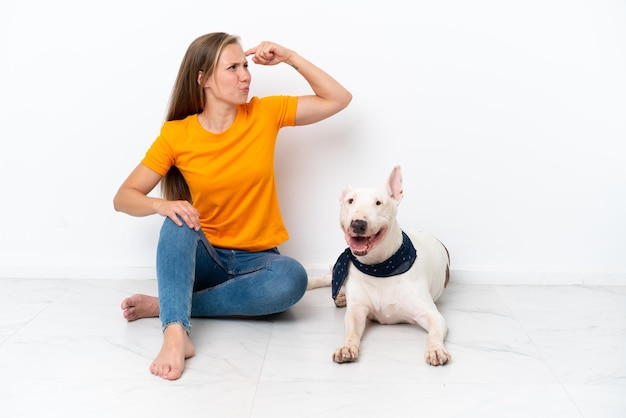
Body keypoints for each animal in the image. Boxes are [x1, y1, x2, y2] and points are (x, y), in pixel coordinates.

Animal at [308, 167, 448, 366]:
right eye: (350, 200)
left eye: (378, 202)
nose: (358, 224)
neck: (379, 267)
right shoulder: (357, 310)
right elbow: (351, 330)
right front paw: (346, 348)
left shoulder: (430, 314)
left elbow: (434, 332)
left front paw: (436, 350)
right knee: (329, 278)